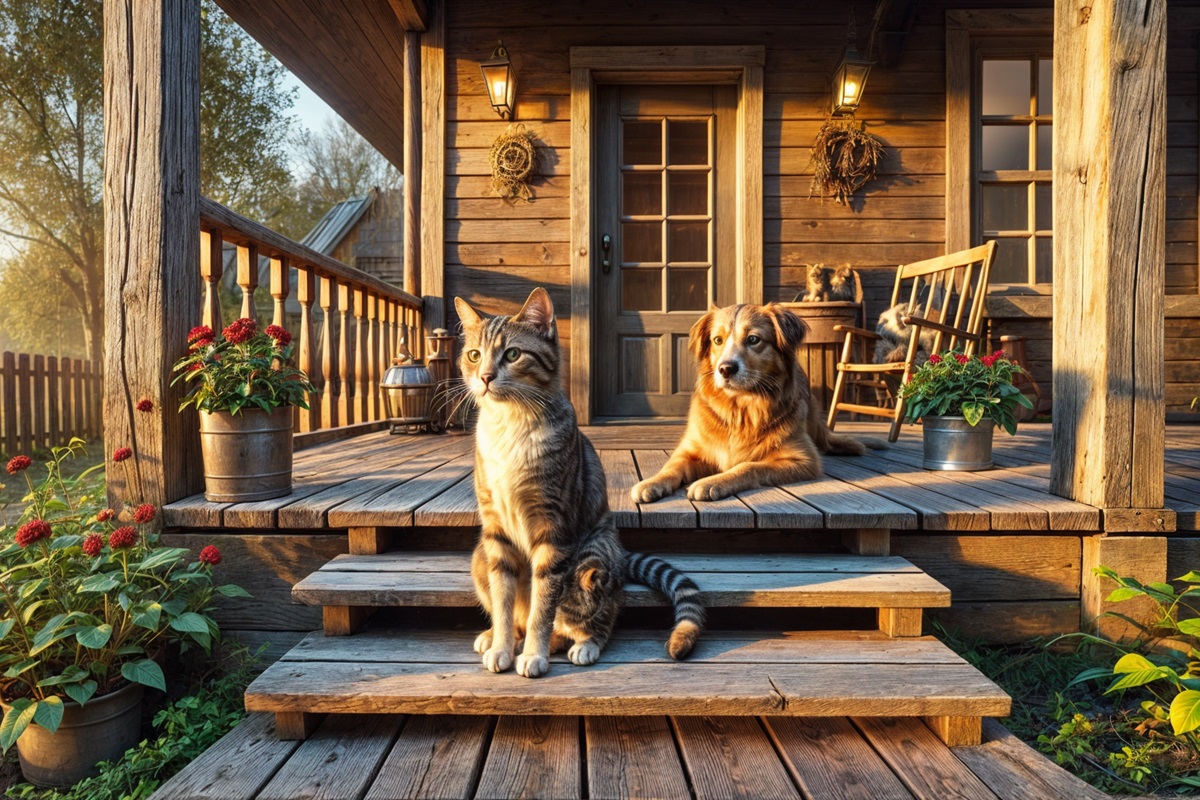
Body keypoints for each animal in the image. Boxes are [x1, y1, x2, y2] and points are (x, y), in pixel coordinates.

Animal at [456, 287, 700, 676]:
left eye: (513, 354)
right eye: (474, 355)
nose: (485, 377)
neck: (509, 425)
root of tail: (620, 556)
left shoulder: (552, 529)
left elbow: (542, 606)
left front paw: (534, 654)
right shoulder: (495, 531)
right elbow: (503, 598)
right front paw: (502, 645)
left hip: (589, 558)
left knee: (600, 610)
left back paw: (584, 644)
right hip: (480, 554)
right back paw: (494, 635)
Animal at [633, 303, 888, 503]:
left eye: (753, 339)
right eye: (717, 340)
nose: (725, 369)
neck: (740, 410)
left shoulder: (803, 460)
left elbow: (749, 465)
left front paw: (712, 481)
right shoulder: (689, 450)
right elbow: (672, 466)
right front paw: (651, 482)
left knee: (827, 441)